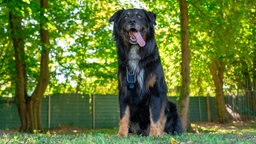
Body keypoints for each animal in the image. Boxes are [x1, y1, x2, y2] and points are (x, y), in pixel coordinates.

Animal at [108, 8, 182, 137]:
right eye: (126, 17)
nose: (132, 21)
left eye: (139, 16)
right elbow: (124, 116)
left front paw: (154, 135)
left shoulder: (156, 91)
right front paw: (121, 134)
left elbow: (155, 116)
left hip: (172, 106)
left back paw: (162, 133)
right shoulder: (124, 91)